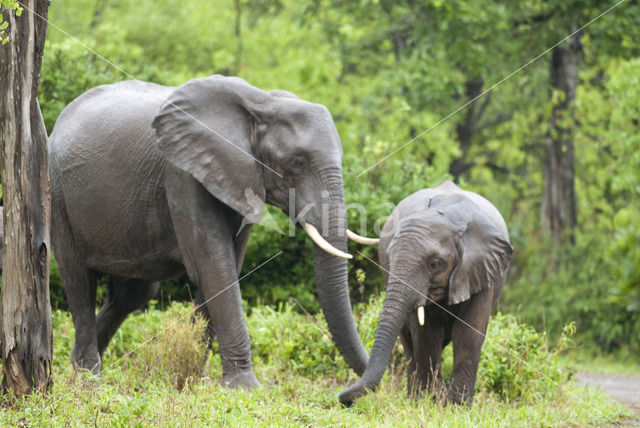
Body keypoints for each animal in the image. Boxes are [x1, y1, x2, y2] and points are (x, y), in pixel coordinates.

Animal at [51, 76, 376, 388]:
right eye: (297, 162)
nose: (348, 395)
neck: (262, 103)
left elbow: (228, 264)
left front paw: (197, 378)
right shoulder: (182, 173)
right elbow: (212, 264)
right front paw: (244, 387)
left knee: (133, 294)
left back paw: (81, 366)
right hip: (57, 195)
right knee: (79, 281)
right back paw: (88, 378)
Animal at [340, 181, 516, 408]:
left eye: (435, 264)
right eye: (389, 259)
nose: (345, 402)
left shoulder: (481, 271)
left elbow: (469, 334)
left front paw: (456, 407)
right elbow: (426, 333)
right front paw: (429, 402)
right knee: (408, 340)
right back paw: (414, 397)